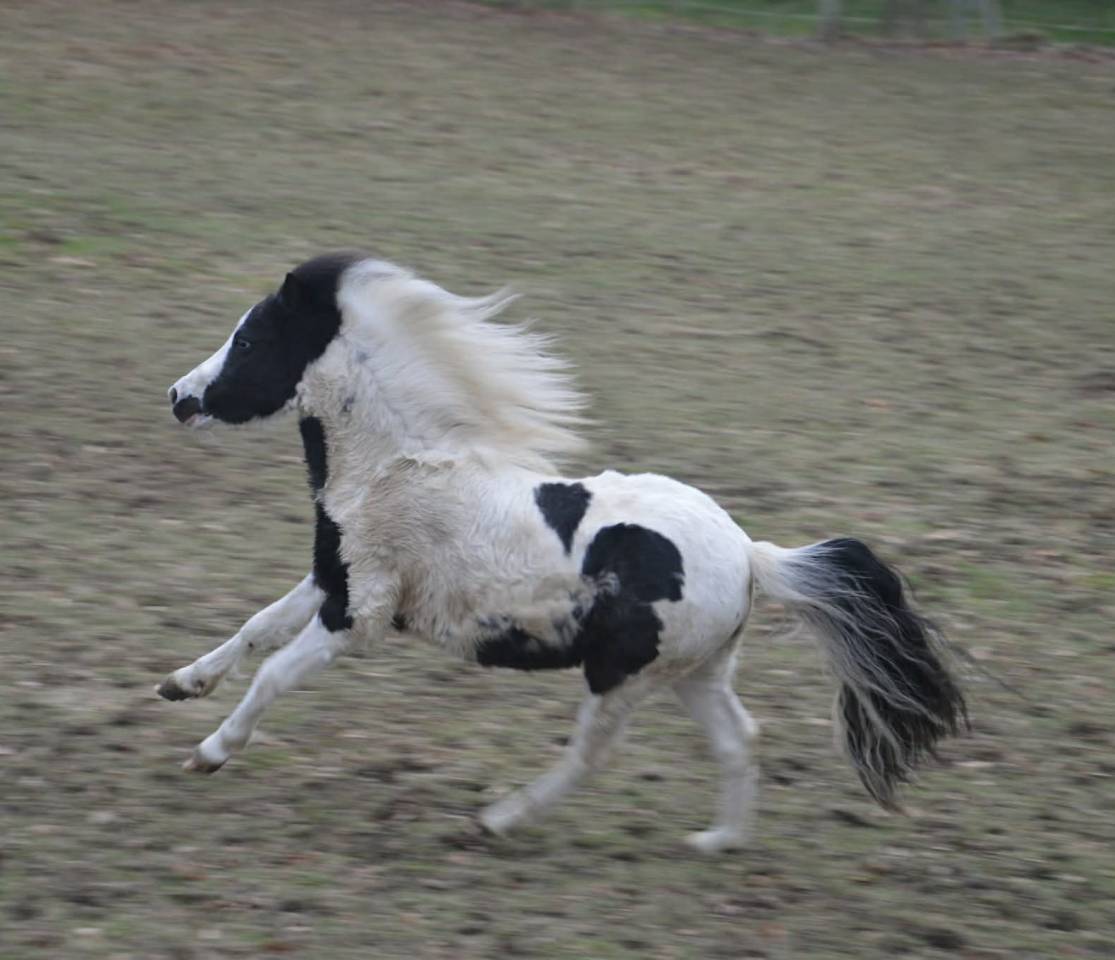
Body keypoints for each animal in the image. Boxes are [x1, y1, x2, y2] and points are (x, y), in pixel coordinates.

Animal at [159, 253, 967, 852]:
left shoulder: (357, 614)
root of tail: (752, 555)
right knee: (740, 740)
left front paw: (209, 751)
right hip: (695, 674)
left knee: (592, 756)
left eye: (251, 341)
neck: (400, 466)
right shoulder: (333, 576)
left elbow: (274, 674)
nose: (178, 397)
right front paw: (179, 683)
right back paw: (715, 842)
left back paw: (496, 820)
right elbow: (255, 627)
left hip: (622, 676)